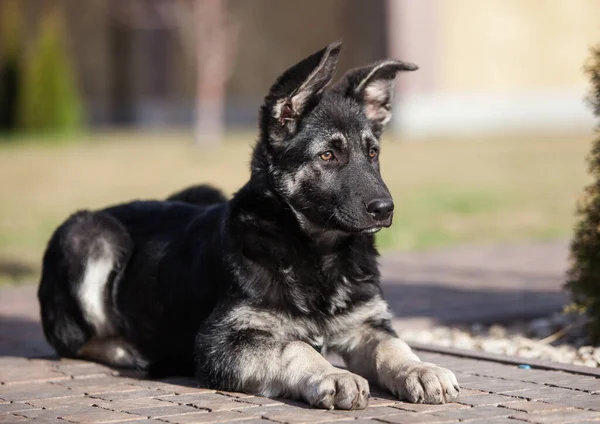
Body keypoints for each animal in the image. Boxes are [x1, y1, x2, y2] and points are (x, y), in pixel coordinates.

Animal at [37, 41, 460, 410]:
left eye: (372, 153)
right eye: (328, 155)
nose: (385, 209)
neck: (314, 252)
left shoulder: (366, 324)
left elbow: (393, 346)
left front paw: (421, 368)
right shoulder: (221, 343)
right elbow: (294, 347)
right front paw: (333, 374)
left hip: (200, 191)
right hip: (88, 234)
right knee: (75, 342)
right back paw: (132, 350)